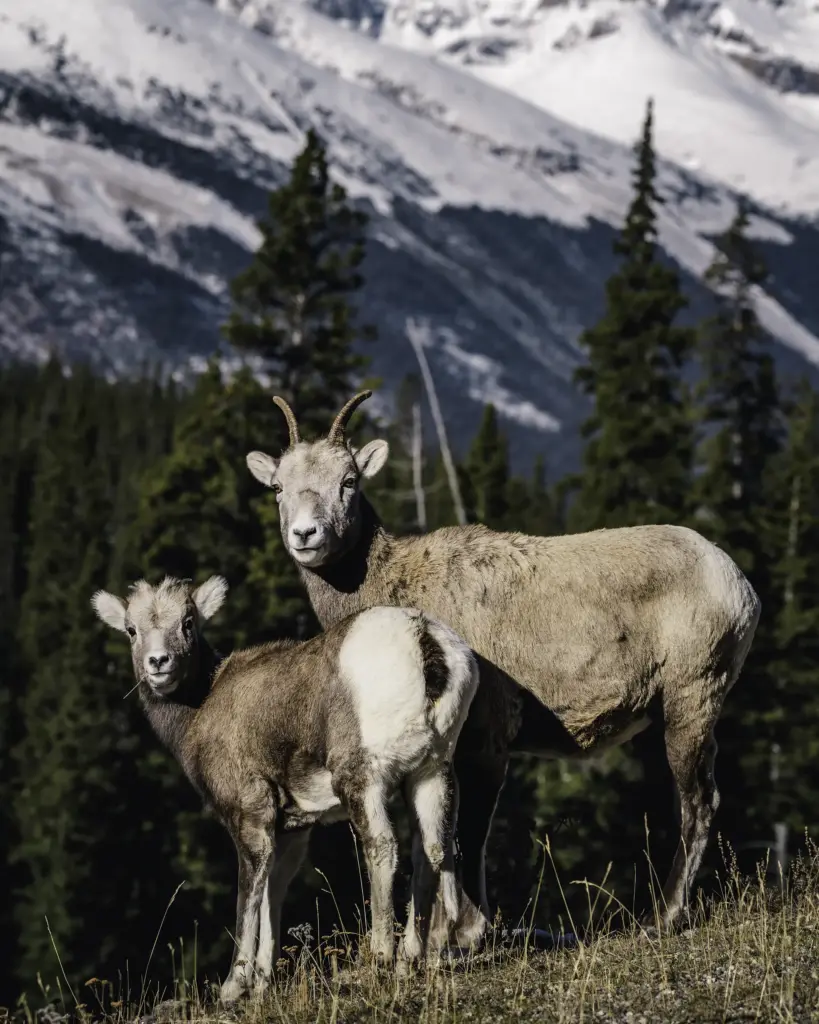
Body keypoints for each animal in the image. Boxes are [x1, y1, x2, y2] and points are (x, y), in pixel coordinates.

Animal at [91, 573, 479, 995]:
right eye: (131, 630)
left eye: (188, 623)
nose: (159, 663)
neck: (200, 710)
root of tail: (423, 638)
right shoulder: (293, 829)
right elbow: (272, 893)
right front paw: (263, 982)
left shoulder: (250, 813)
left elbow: (249, 892)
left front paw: (234, 987)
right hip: (431, 771)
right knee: (432, 850)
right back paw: (413, 960)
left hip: (362, 778)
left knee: (382, 848)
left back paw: (378, 960)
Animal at [243, 389, 761, 942]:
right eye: (278, 486)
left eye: (349, 481)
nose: (306, 534)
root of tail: (739, 586)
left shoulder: (487, 737)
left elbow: (468, 832)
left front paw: (467, 934)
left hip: (693, 696)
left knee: (699, 801)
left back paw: (661, 917)